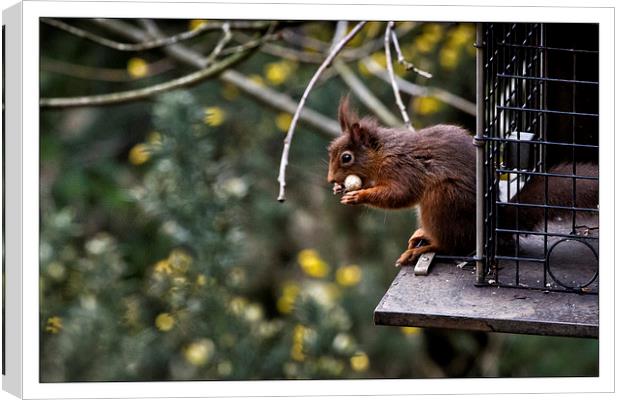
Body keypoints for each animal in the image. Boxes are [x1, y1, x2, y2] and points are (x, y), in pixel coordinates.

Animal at [326, 96, 600, 266]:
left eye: (346, 157)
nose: (330, 180)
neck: (383, 153)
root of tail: (495, 220)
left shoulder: (403, 169)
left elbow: (399, 195)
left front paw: (358, 196)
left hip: (444, 199)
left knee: (451, 245)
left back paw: (426, 248)